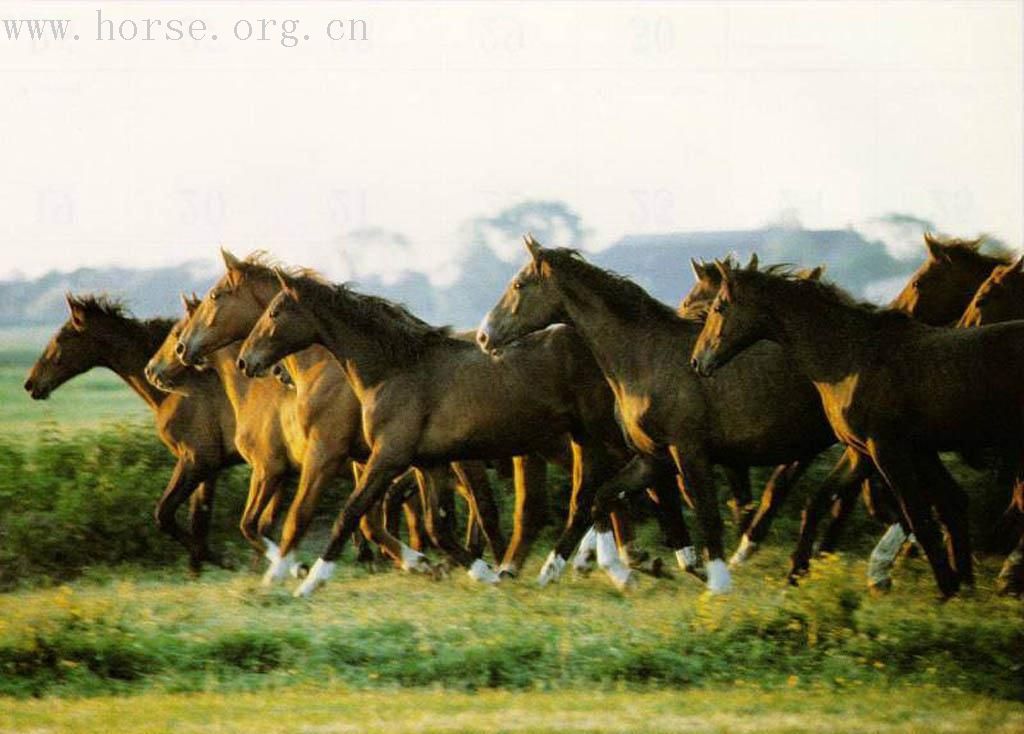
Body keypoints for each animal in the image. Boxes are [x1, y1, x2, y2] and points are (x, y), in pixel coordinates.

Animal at [24, 294, 240, 569]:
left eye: (61, 339)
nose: (31, 383)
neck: (179, 389)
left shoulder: (198, 460)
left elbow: (164, 515)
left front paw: (226, 561)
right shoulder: (208, 469)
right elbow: (198, 523)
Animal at [475, 237, 835, 593]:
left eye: (518, 284)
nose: (483, 336)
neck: (646, 357)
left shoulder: (688, 450)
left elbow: (704, 511)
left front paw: (716, 581)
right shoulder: (654, 455)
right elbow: (606, 498)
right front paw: (552, 571)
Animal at [688, 264, 1024, 593]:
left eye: (719, 306)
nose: (696, 362)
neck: (851, 359)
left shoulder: (887, 450)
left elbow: (918, 516)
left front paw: (948, 590)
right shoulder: (871, 451)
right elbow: (821, 503)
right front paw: (795, 576)